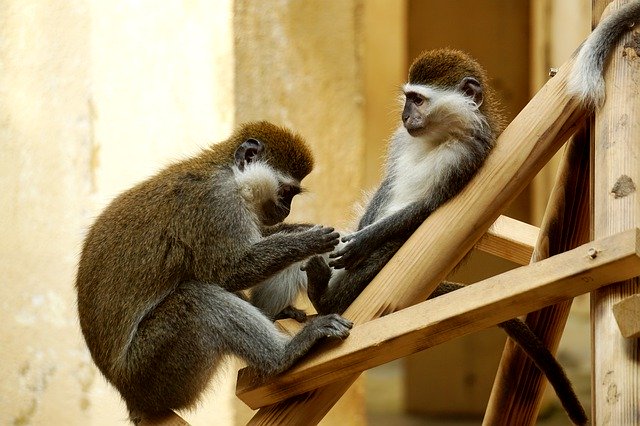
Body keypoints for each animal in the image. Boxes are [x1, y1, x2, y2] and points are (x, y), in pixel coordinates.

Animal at [78, 120, 356, 422]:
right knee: (198, 301)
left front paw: (302, 230)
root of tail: (128, 395)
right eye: (287, 193)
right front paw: (307, 241)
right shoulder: (217, 203)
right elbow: (228, 272)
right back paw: (282, 357)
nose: (286, 209)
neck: (231, 175)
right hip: (151, 370)